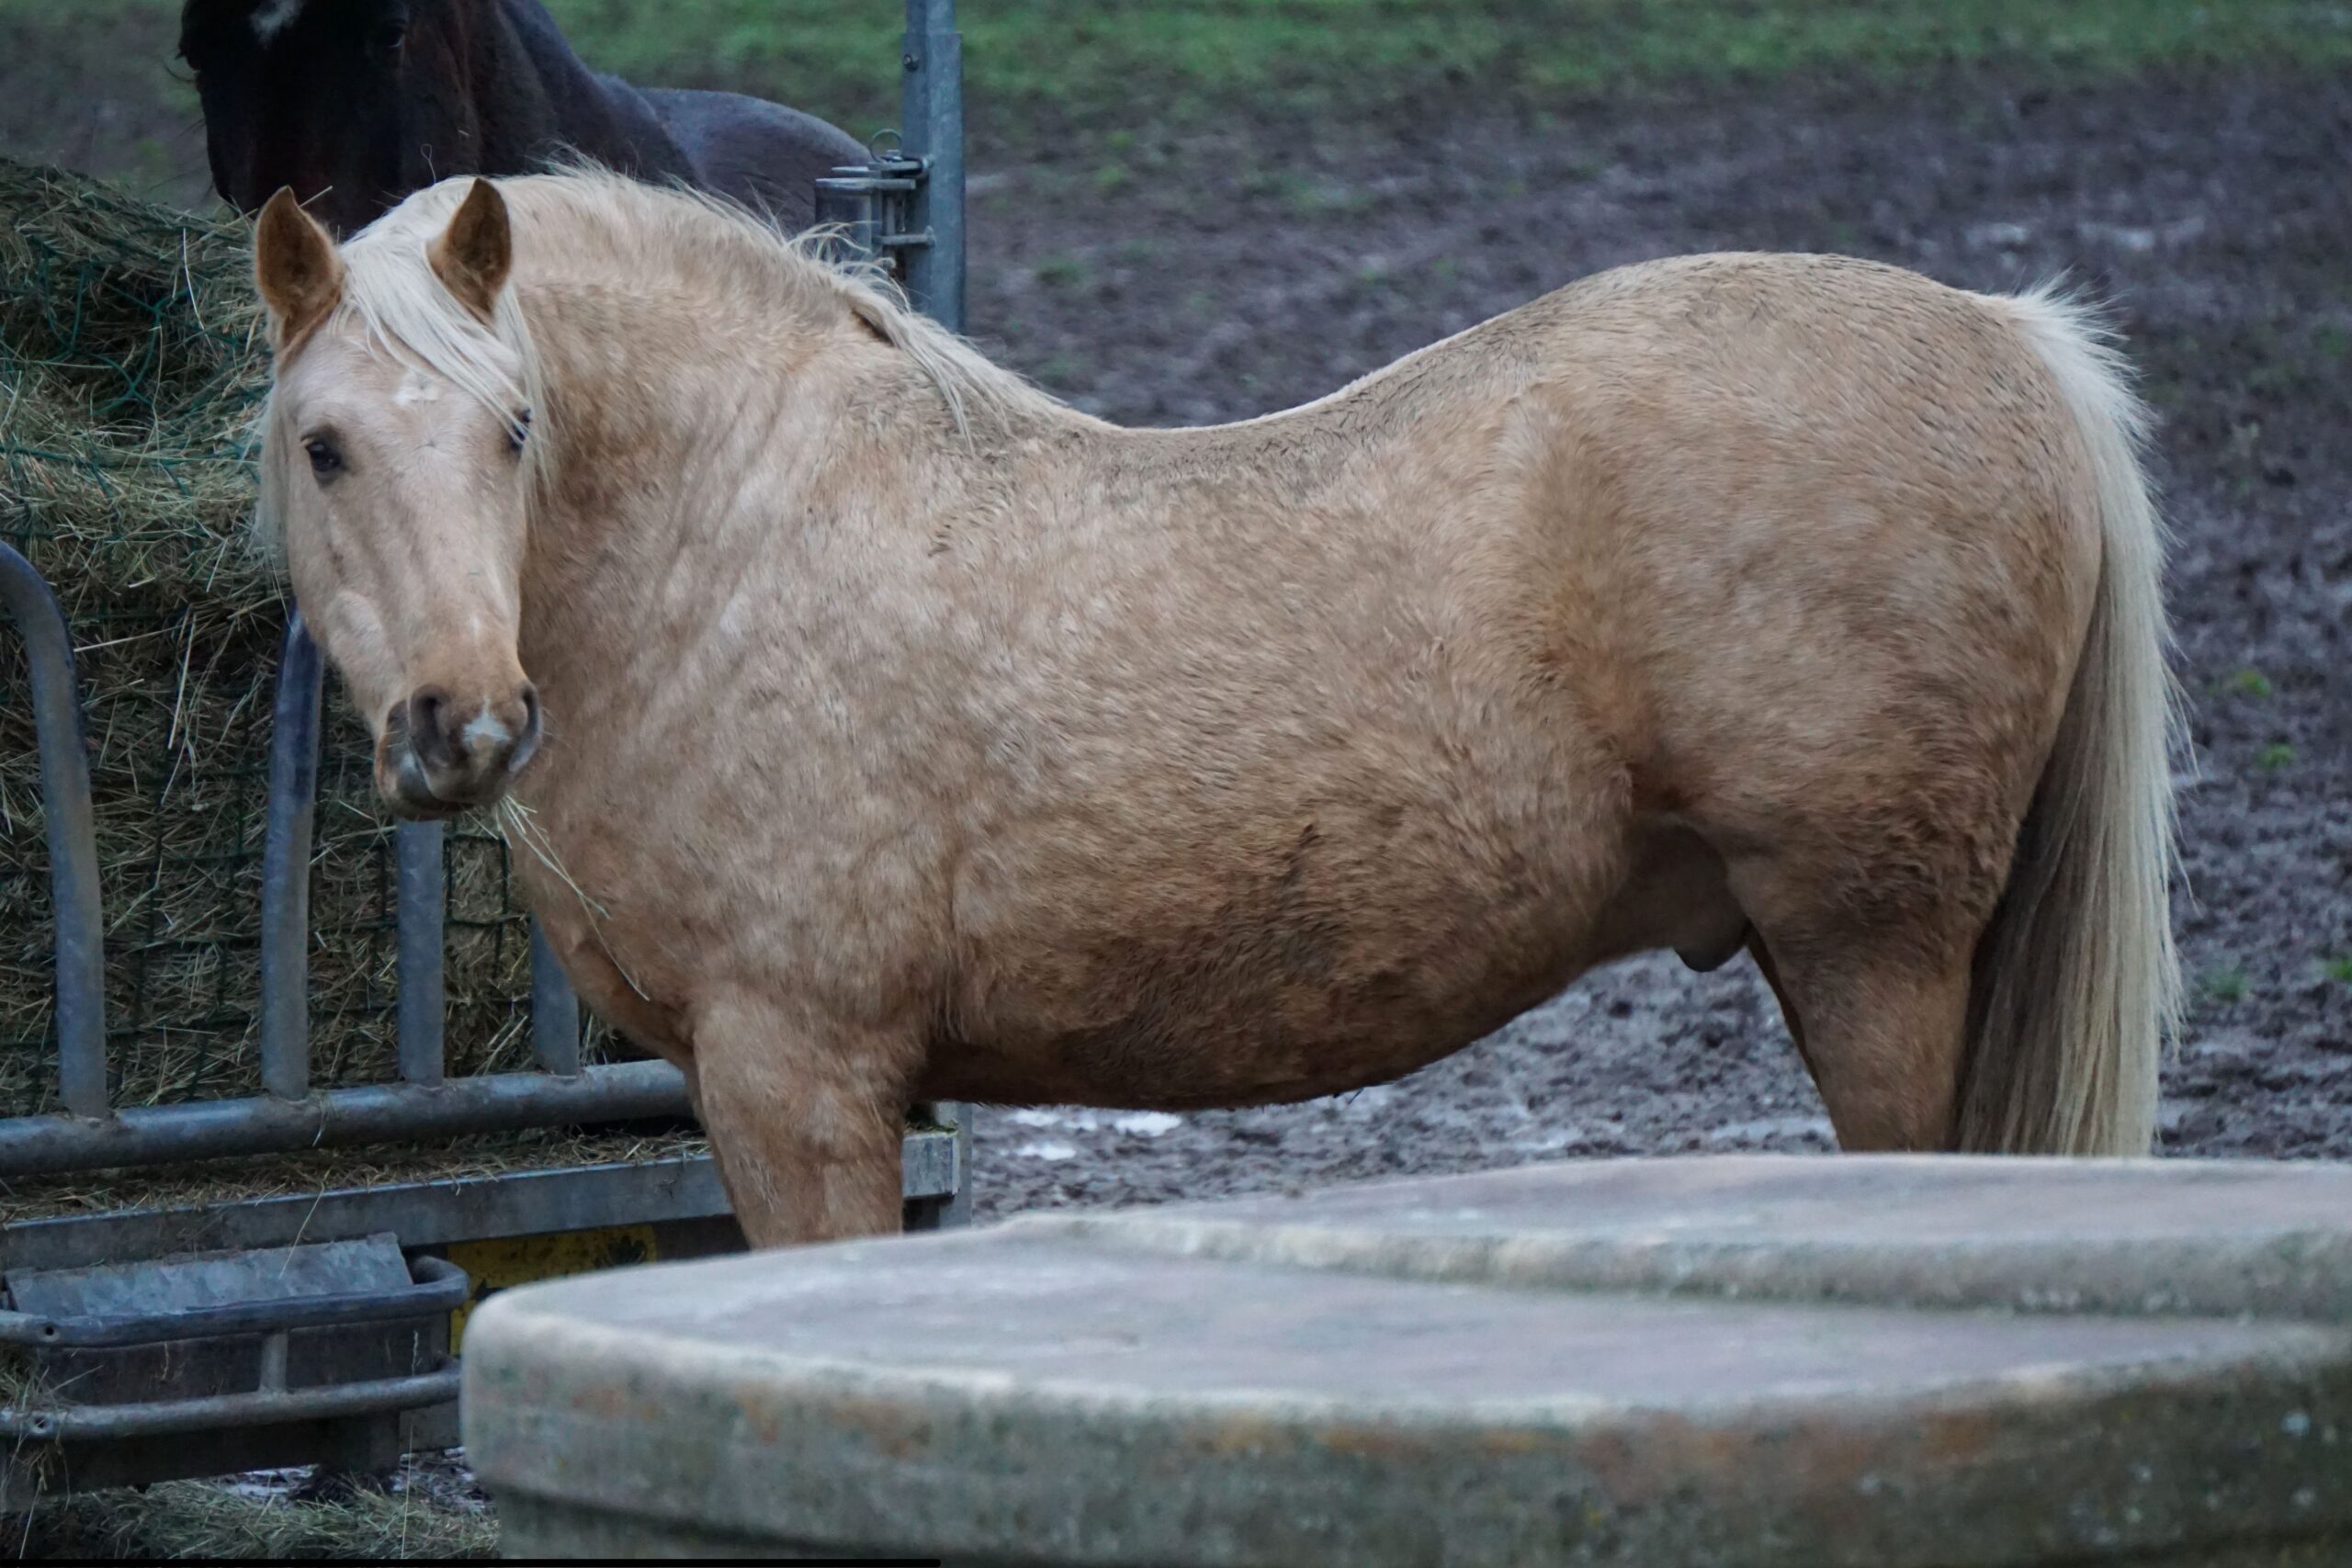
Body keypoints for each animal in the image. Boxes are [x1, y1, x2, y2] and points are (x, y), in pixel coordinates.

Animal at [249, 171, 2182, 1247]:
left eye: (515, 428)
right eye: (322, 442)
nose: (461, 723)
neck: (734, 533)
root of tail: (2009, 336)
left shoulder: (801, 1075)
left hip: (1871, 944)